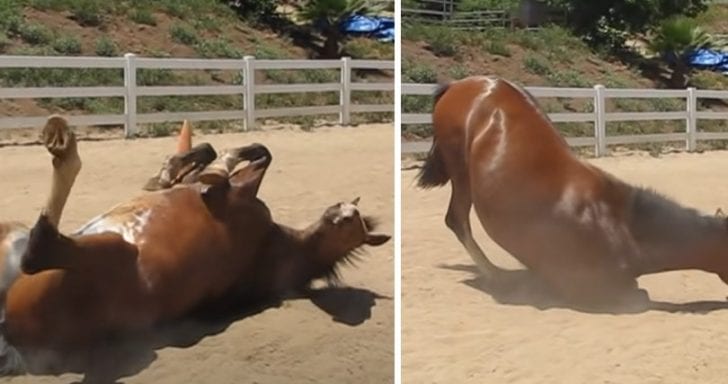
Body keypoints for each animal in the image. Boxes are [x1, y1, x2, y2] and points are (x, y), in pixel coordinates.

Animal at [0, 116, 390, 372]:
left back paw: (64, 146)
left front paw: (206, 168)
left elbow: (241, 162)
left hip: (108, 252)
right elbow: (241, 152)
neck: (275, 247)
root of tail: (13, 333)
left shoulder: (231, 196)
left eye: (354, 225)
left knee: (42, 248)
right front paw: (180, 168)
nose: (340, 213)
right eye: (348, 214)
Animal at [416, 76, 728, 308]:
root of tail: (458, 86)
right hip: (460, 172)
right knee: (457, 220)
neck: (621, 225)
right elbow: (637, 296)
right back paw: (497, 277)